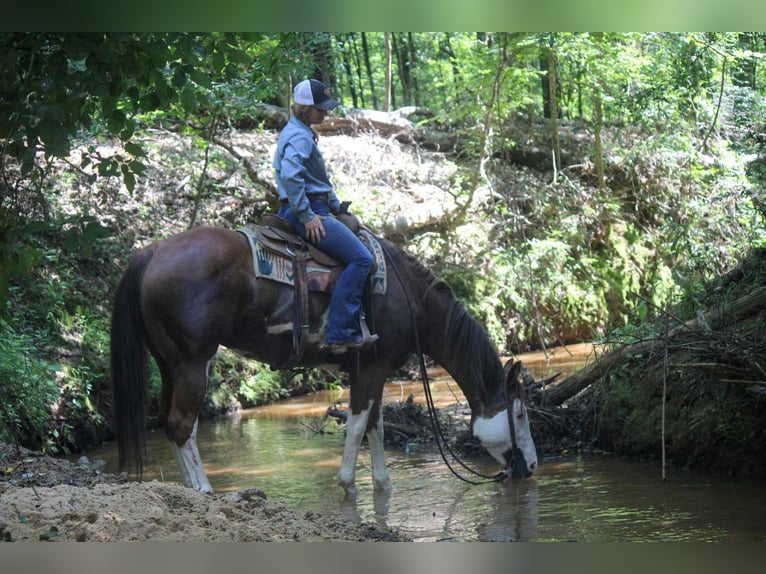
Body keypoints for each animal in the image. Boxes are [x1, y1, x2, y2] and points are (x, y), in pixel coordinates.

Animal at [111, 225, 536, 500]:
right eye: (519, 414)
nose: (530, 467)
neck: (409, 299)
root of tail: (153, 250)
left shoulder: (372, 371)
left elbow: (376, 426)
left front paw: (383, 486)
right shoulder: (372, 371)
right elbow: (357, 426)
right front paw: (348, 484)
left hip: (169, 364)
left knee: (170, 424)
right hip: (192, 362)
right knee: (182, 425)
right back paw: (204, 491)